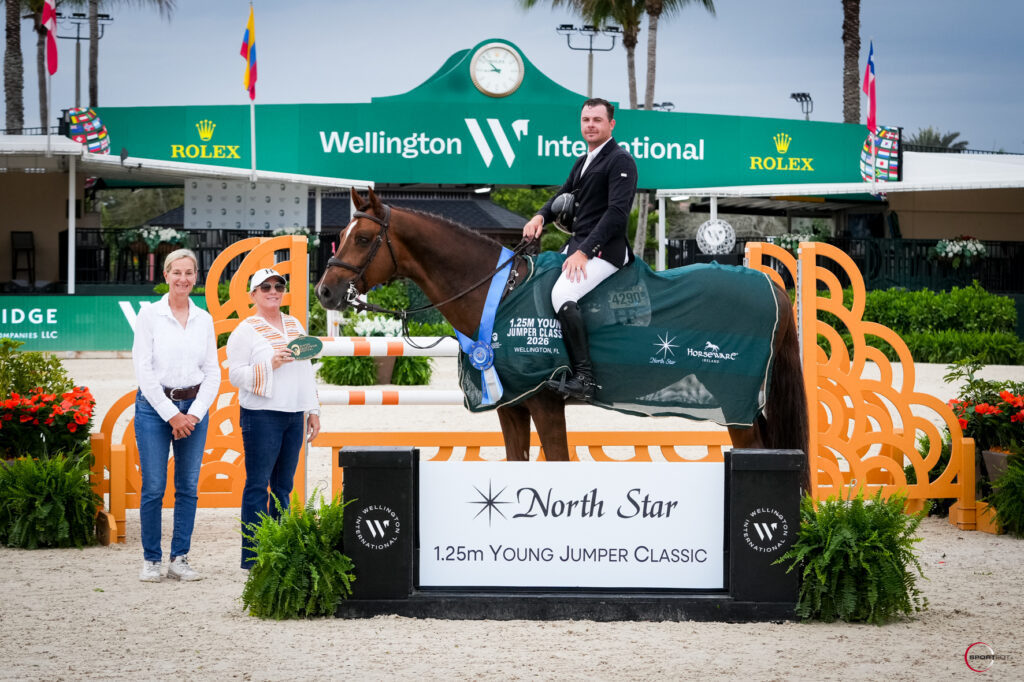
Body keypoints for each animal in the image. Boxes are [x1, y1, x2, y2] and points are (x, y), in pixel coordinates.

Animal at [316, 188, 808, 463]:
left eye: (364, 238)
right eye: (339, 236)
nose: (324, 292)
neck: (499, 292)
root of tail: (770, 282)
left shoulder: (546, 404)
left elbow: (556, 463)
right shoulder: (512, 405)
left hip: (734, 403)